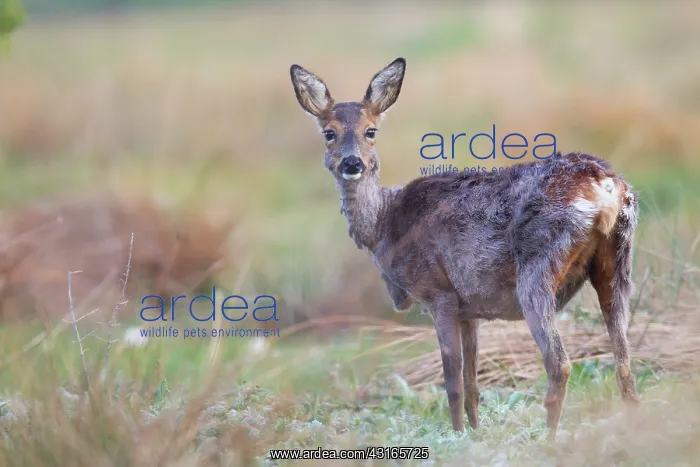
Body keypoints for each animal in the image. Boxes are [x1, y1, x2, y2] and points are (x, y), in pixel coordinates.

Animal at [289, 57, 640, 441]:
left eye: (371, 131)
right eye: (329, 132)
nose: (352, 163)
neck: (386, 225)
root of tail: (605, 186)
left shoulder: (438, 293)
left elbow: (452, 382)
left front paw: (457, 436)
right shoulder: (469, 308)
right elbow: (473, 384)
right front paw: (475, 435)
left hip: (537, 269)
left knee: (560, 364)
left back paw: (548, 441)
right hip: (616, 262)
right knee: (625, 364)